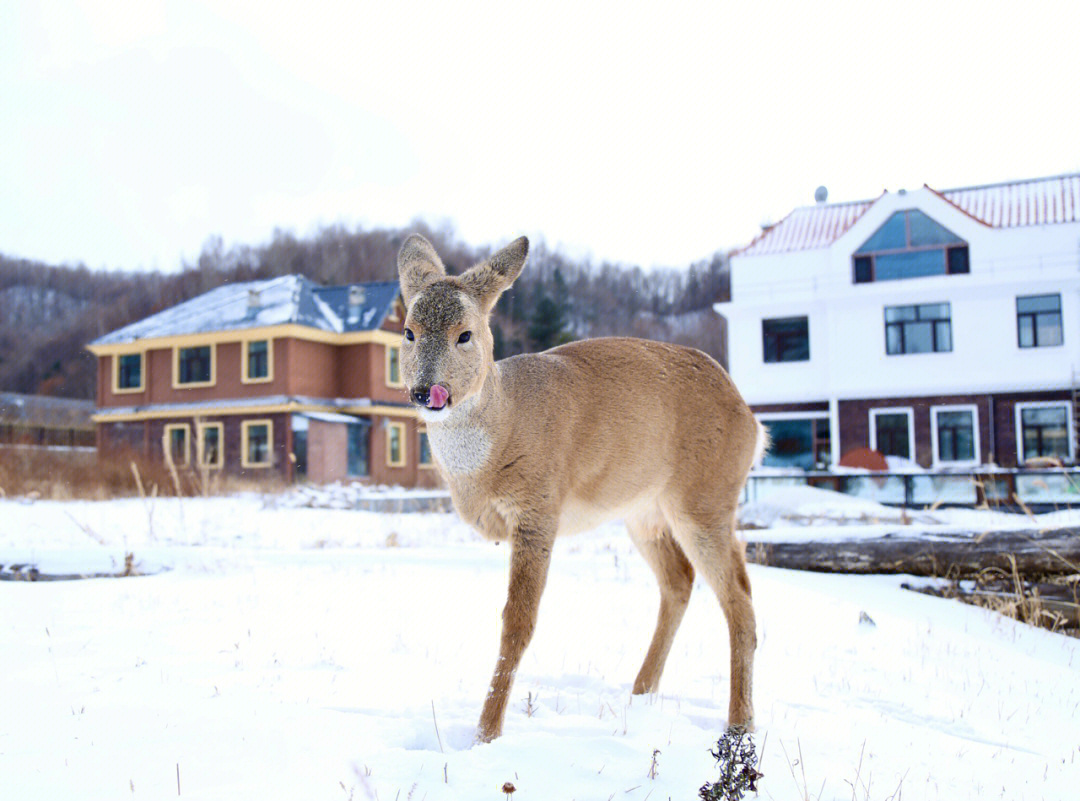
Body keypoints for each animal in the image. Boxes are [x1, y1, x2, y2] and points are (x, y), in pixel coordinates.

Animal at [399, 234, 768, 747]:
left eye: (465, 334)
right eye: (409, 332)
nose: (425, 391)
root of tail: (751, 419)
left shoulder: (539, 506)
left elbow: (518, 623)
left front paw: (485, 734)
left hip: (706, 495)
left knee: (739, 598)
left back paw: (738, 724)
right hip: (643, 512)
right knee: (680, 581)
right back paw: (641, 692)